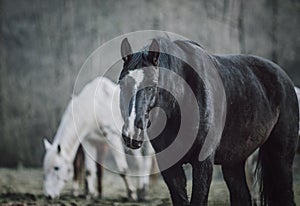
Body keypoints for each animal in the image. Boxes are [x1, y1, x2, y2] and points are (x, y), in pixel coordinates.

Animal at [117, 37, 298, 206]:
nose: (132, 133)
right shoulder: (169, 165)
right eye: (122, 84)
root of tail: (285, 80)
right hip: (234, 163)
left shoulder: (203, 163)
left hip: (281, 159)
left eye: (153, 85)